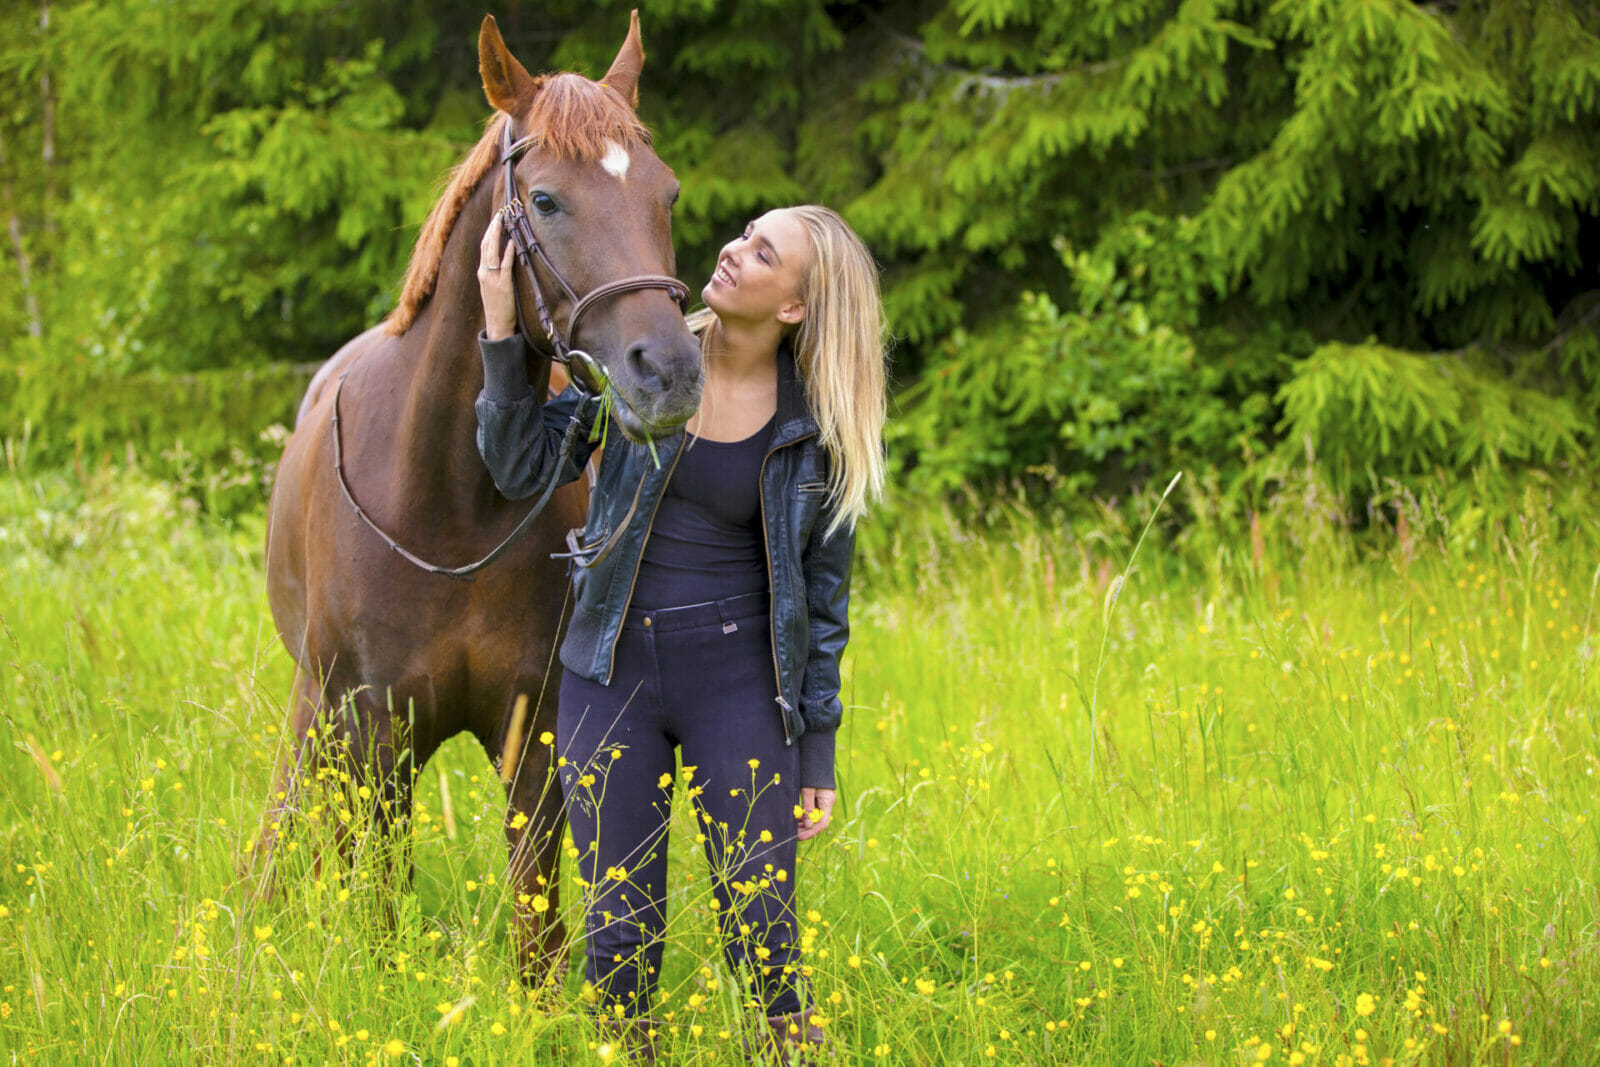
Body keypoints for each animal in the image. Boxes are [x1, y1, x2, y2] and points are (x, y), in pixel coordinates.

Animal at [258, 12, 701, 987]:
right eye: (545, 200)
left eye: (668, 192)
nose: (670, 371)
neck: (448, 504)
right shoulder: (377, 734)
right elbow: (377, 898)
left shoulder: (534, 739)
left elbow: (537, 924)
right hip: (318, 710)